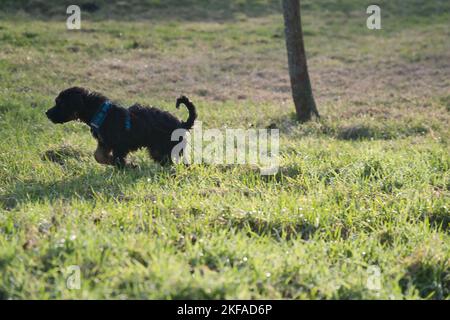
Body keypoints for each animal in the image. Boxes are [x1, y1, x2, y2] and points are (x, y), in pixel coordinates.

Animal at [45, 87, 197, 168]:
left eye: (60, 104)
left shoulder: (120, 146)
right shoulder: (104, 143)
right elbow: (98, 156)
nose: (46, 113)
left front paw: (128, 166)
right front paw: (112, 162)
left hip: (164, 148)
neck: (101, 112)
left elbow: (118, 159)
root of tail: (182, 124)